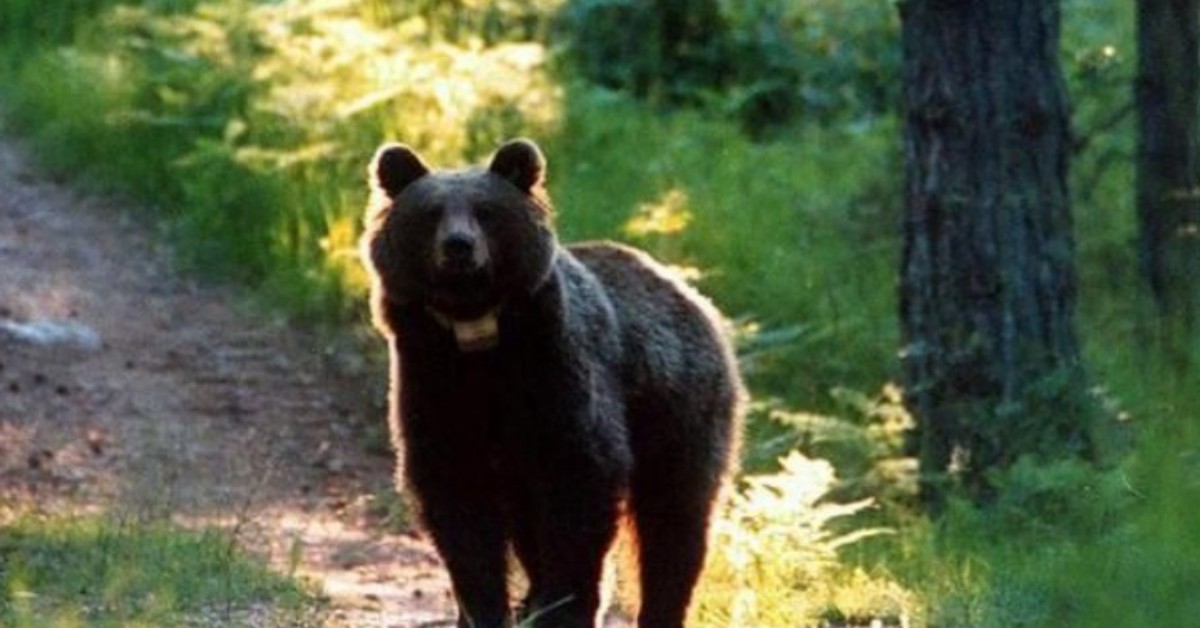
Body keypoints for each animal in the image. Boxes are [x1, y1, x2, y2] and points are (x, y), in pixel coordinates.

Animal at [360, 139, 744, 624]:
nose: (459, 246)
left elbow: (580, 489)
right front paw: (484, 608)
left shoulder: (556, 380)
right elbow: (459, 509)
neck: (478, 338)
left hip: (678, 411)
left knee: (676, 521)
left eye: (486, 210)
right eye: (430, 213)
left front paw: (566, 605)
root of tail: (691, 294)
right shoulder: (434, 383)